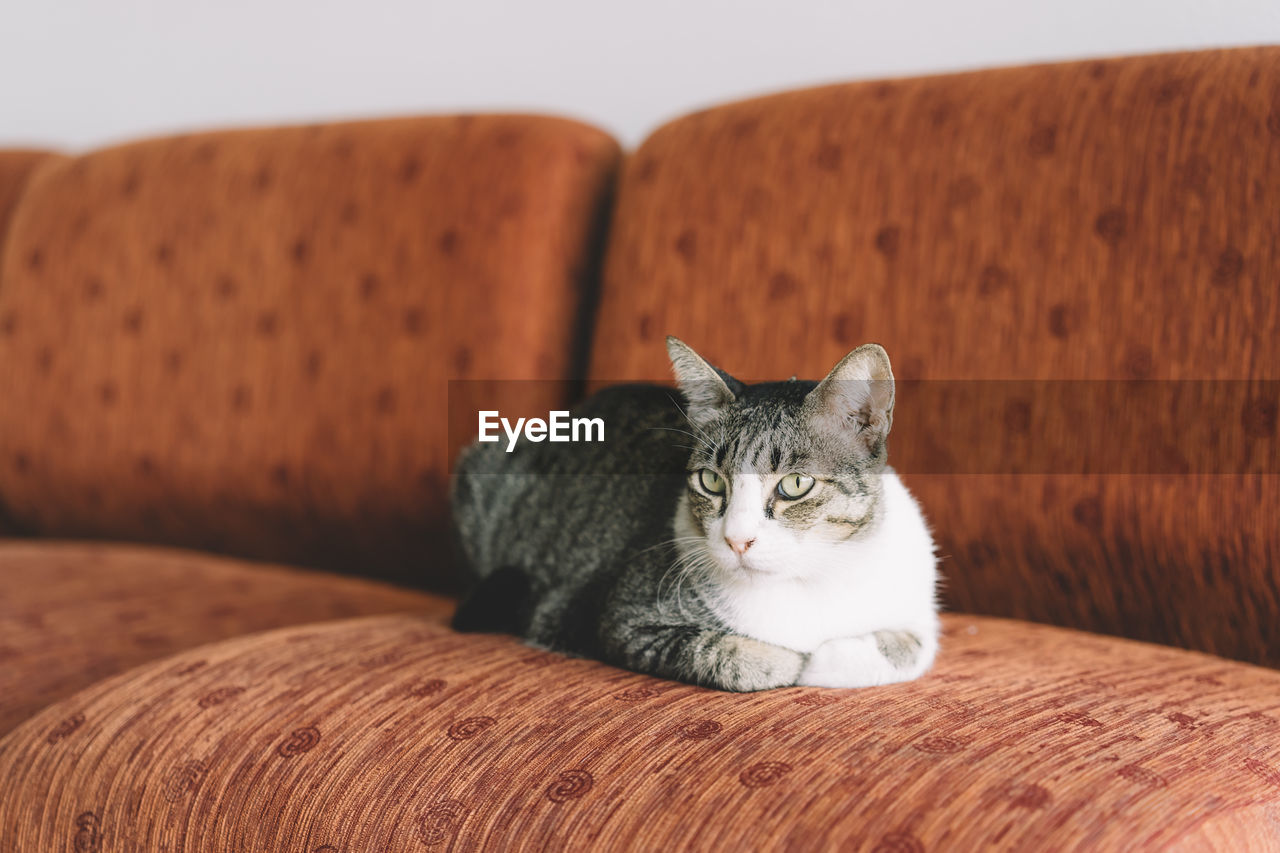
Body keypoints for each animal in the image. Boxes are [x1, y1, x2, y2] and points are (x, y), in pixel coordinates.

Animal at [450, 335, 942, 686]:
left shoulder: (920, 610)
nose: (737, 540)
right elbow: (733, 655)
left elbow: (911, 647)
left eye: (795, 485)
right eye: (711, 480)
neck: (810, 579)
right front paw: (795, 661)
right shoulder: (614, 618)